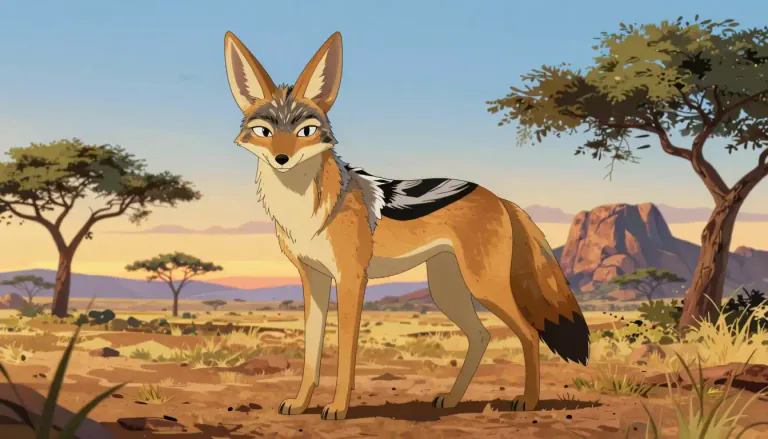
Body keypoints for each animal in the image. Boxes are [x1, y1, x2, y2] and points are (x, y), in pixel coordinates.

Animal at [223, 31, 589, 420]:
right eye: (263, 131)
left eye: (306, 130)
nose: (282, 158)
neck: (304, 212)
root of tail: (500, 198)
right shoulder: (314, 279)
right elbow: (311, 351)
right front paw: (300, 402)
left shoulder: (351, 279)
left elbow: (346, 353)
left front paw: (338, 408)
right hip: (446, 290)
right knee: (481, 335)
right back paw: (452, 399)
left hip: (483, 286)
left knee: (530, 334)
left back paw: (528, 401)